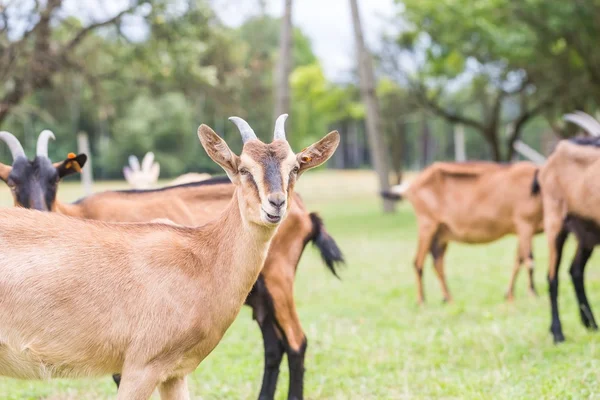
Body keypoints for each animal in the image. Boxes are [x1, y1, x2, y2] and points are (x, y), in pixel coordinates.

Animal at [0, 117, 340, 398]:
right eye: (243, 168)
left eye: (294, 167)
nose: (275, 204)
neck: (201, 256)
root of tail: (307, 215)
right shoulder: (141, 366)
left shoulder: (173, 371)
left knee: (289, 343)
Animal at [384, 162, 544, 304]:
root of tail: (411, 186)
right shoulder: (524, 224)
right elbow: (529, 260)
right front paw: (533, 294)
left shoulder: (523, 230)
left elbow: (519, 260)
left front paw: (509, 295)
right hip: (427, 225)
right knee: (418, 262)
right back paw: (421, 300)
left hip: (441, 234)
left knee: (437, 263)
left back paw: (447, 298)